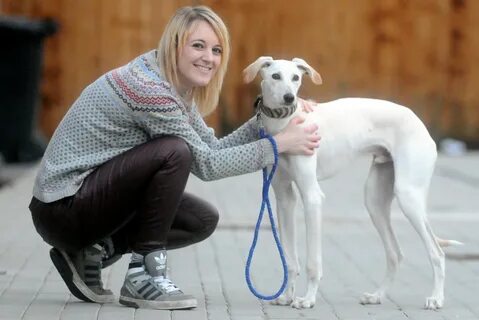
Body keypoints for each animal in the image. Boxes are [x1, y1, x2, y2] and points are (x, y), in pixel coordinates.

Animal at [244, 57, 462, 310]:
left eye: (296, 78)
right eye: (276, 76)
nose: (289, 98)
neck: (287, 123)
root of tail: (419, 122)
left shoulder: (312, 197)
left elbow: (312, 262)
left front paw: (308, 299)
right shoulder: (284, 197)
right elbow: (289, 259)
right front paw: (287, 296)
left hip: (408, 196)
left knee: (437, 253)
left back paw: (436, 298)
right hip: (375, 200)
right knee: (395, 254)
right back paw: (377, 295)